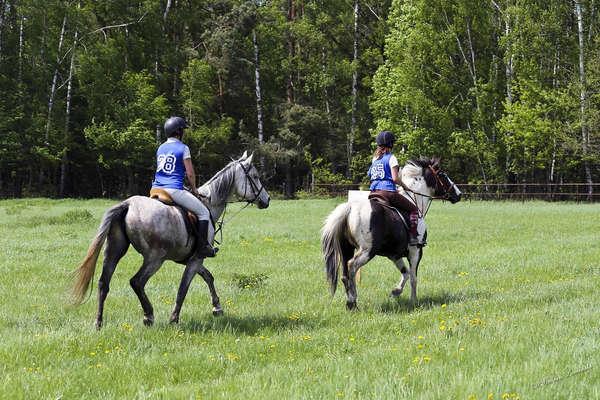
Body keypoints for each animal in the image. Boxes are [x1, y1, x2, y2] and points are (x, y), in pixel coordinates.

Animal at [71, 151, 270, 328]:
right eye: (255, 176)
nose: (266, 200)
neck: (209, 204)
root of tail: (127, 204)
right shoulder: (197, 258)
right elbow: (184, 287)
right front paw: (174, 318)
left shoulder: (191, 259)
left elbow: (208, 276)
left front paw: (217, 307)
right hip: (155, 258)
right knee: (137, 282)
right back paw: (148, 315)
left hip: (114, 250)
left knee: (103, 283)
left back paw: (98, 322)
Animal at [322, 159, 462, 310]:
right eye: (443, 175)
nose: (459, 194)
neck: (414, 199)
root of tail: (350, 207)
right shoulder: (416, 251)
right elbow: (413, 277)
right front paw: (414, 301)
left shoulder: (394, 254)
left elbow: (406, 273)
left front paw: (396, 291)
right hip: (367, 251)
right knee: (352, 266)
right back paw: (353, 300)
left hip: (346, 249)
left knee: (345, 275)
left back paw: (350, 303)